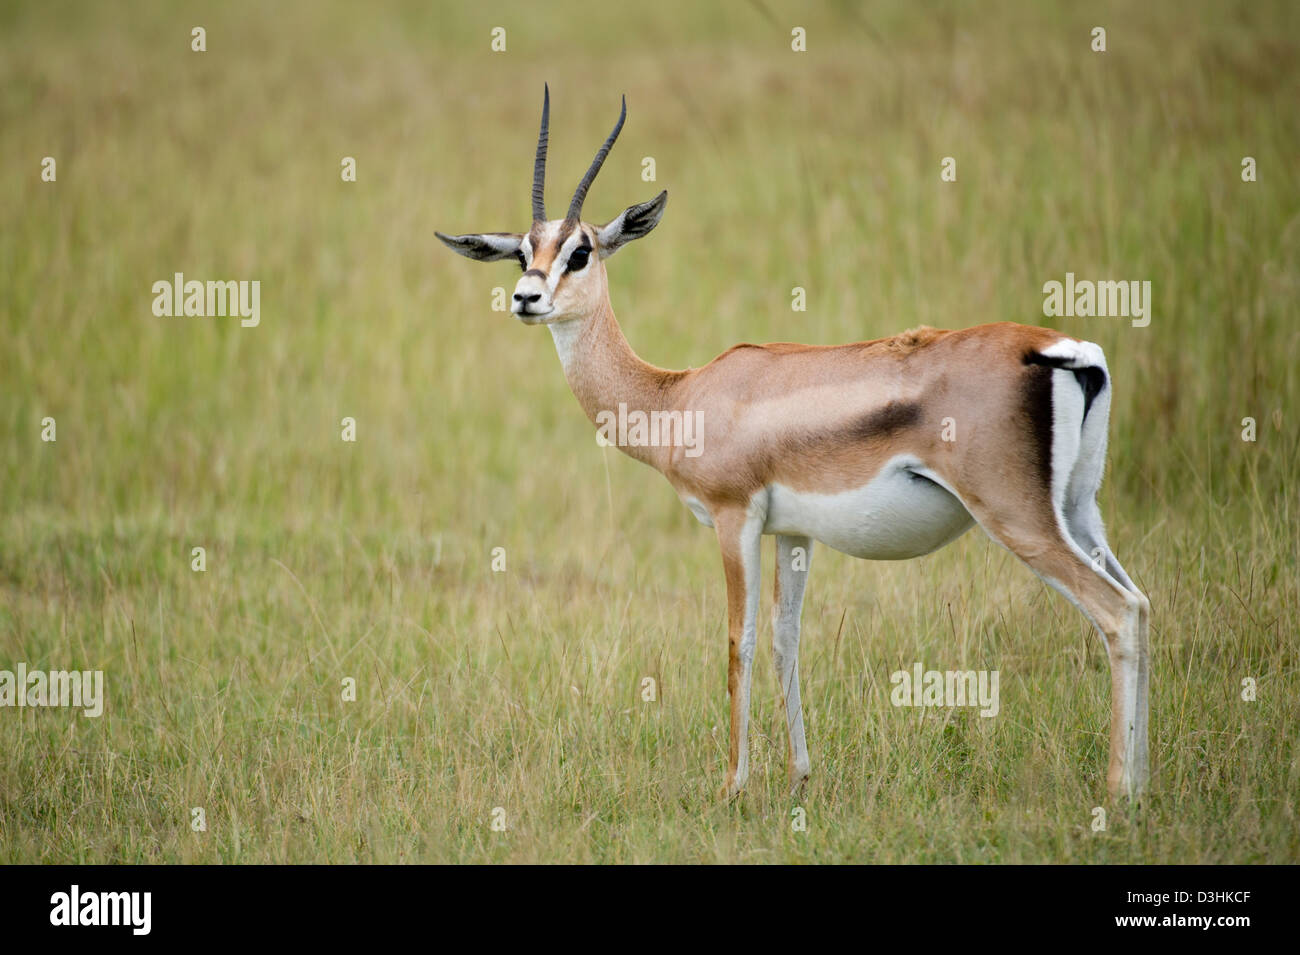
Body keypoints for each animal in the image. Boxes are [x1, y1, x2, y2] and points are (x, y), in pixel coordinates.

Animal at [437, 87, 1150, 801]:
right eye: (522, 252)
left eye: (580, 251)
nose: (525, 297)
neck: (679, 396)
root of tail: (1062, 350)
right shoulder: (794, 532)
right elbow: (787, 639)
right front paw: (799, 774)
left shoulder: (735, 519)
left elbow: (740, 641)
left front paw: (733, 785)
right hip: (1079, 512)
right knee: (1140, 606)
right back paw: (1143, 786)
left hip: (1017, 517)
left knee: (1114, 612)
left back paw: (1117, 791)